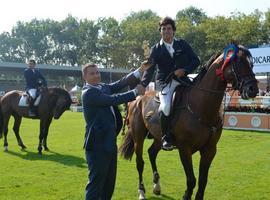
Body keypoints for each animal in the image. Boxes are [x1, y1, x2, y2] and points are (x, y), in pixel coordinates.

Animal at [119, 44, 258, 200]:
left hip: (158, 137)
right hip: (138, 136)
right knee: (140, 162)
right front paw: (186, 195)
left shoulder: (210, 150)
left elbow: (203, 181)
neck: (200, 107)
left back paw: (157, 186)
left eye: (251, 63)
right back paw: (142, 191)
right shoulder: (185, 149)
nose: (253, 89)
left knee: (152, 153)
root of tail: (137, 99)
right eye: (238, 63)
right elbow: (191, 180)